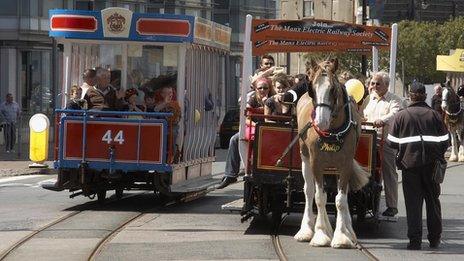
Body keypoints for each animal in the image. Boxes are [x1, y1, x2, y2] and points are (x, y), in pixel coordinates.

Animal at [294, 58, 370, 247]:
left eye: (333, 89)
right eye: (312, 89)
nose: (321, 121)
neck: (332, 132)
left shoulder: (345, 164)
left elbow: (340, 199)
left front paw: (342, 236)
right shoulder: (316, 163)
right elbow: (319, 197)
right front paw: (321, 234)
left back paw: (347, 230)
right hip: (305, 158)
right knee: (309, 191)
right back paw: (307, 230)